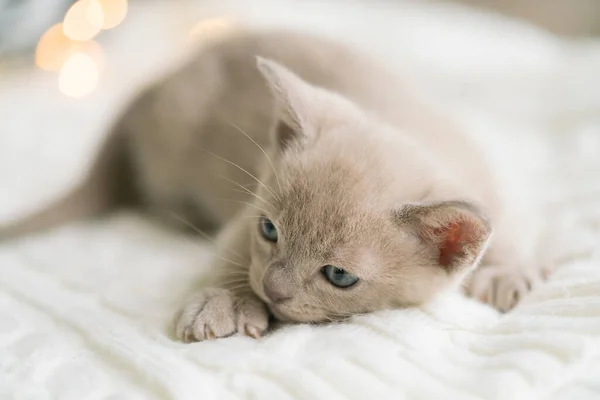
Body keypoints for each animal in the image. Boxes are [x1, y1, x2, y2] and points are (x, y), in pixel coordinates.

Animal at [0, 29, 548, 340]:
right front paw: (226, 301)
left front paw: (505, 272)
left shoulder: (489, 180)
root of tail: (157, 80)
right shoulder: (243, 218)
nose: (271, 290)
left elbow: (507, 230)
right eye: (269, 231)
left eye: (339, 276)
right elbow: (229, 255)